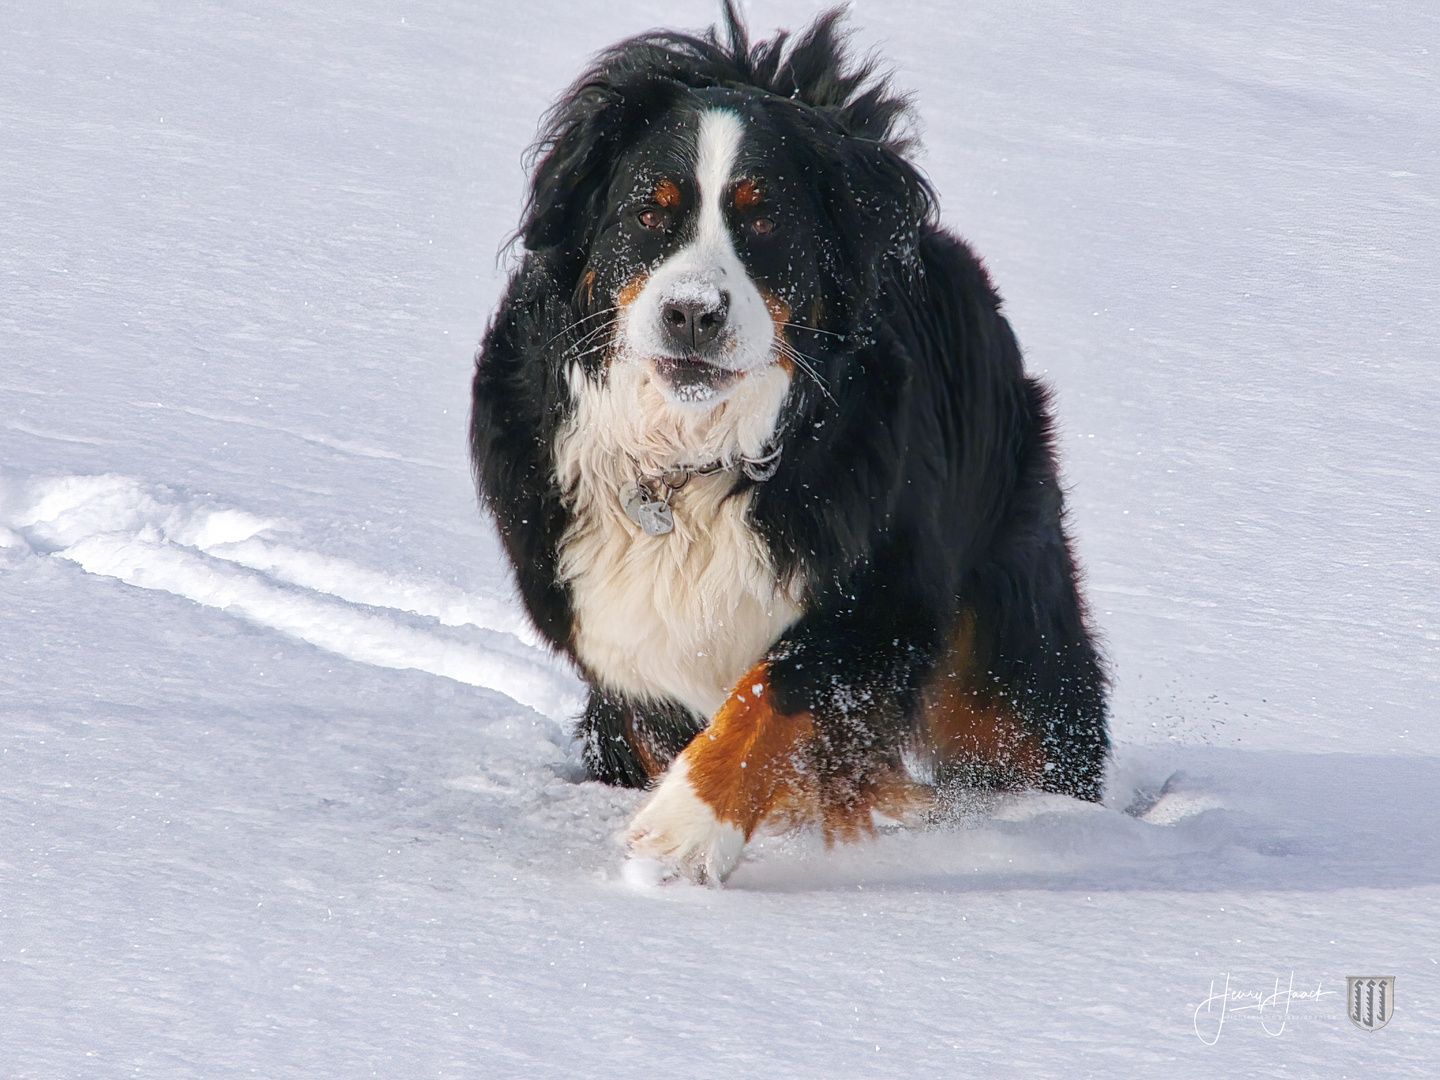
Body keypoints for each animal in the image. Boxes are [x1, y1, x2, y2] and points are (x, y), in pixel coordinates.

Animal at [466, 6, 1105, 887]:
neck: (695, 459)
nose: (692, 313)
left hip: (1013, 662)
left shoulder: (887, 597)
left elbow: (775, 692)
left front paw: (683, 830)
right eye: (649, 212)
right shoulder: (612, 633)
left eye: (763, 217)